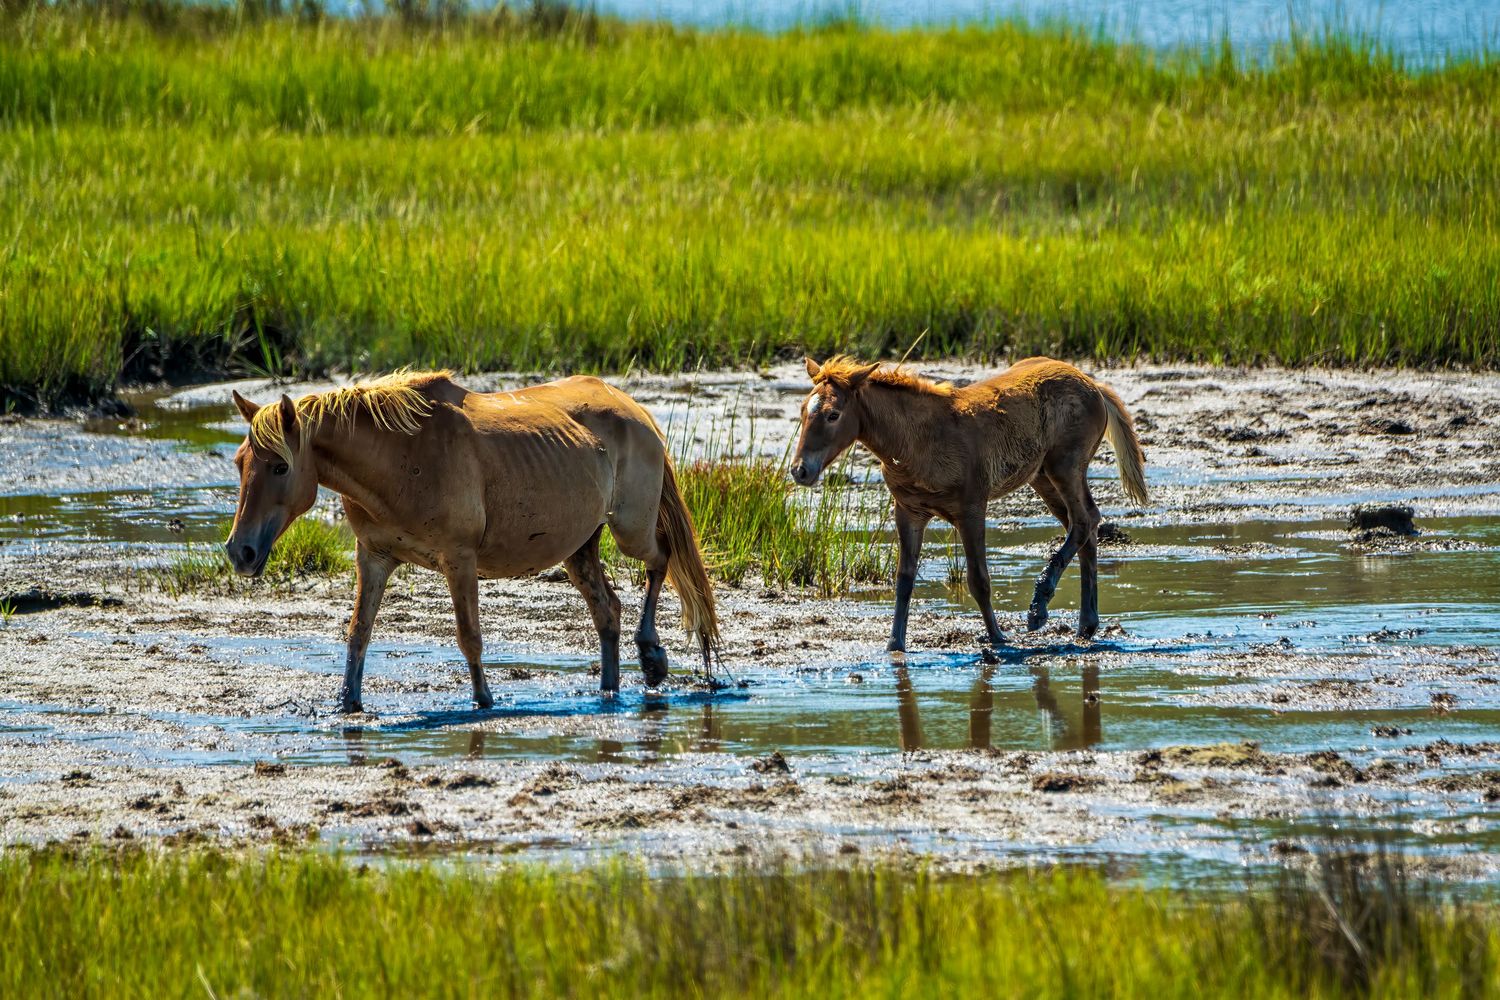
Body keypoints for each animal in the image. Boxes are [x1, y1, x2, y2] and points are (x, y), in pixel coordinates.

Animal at [224, 370, 719, 712]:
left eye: (281, 467)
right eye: (239, 461)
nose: (239, 552)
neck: (400, 456)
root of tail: (634, 410)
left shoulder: (458, 559)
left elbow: (469, 637)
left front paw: (483, 701)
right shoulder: (374, 557)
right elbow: (358, 633)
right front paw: (348, 703)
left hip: (630, 529)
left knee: (661, 559)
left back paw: (652, 655)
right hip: (579, 549)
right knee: (607, 611)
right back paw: (610, 689)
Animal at [790, 356, 1147, 652]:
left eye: (833, 414)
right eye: (803, 409)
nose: (800, 470)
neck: (918, 441)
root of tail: (1094, 386)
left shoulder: (971, 509)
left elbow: (979, 579)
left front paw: (998, 638)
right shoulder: (908, 512)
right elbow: (904, 579)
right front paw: (895, 645)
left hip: (1065, 465)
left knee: (1084, 520)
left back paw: (1039, 609)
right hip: (1042, 476)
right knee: (1085, 524)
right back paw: (1085, 624)